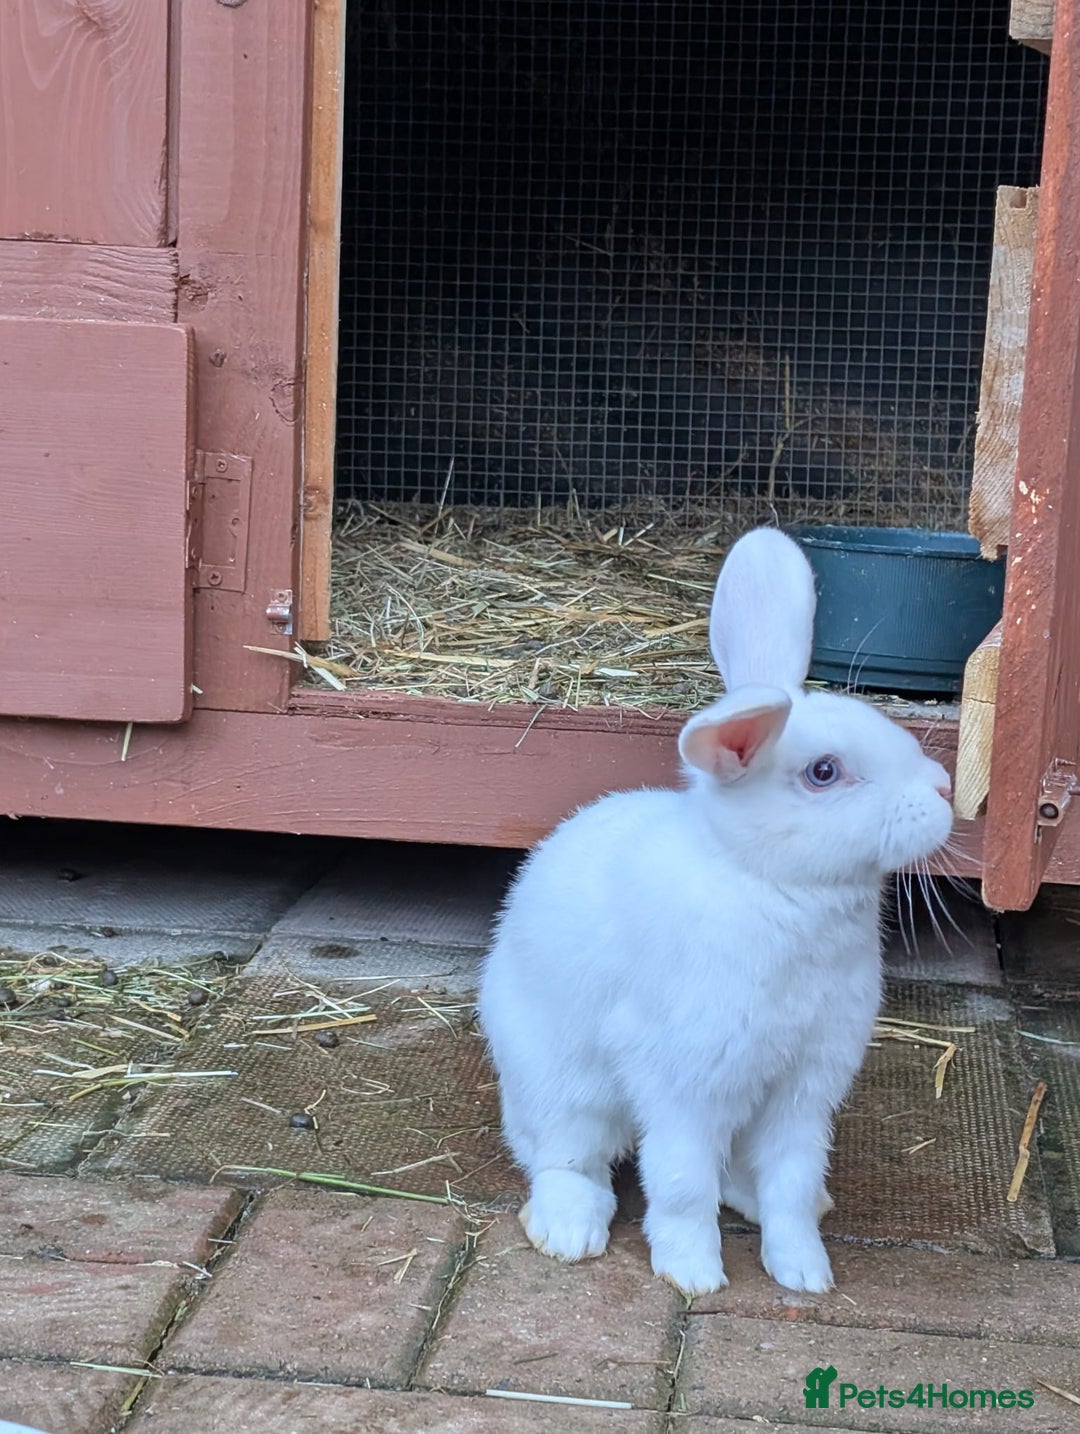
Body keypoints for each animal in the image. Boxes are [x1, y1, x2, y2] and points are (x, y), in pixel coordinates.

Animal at [477, 526, 953, 1297]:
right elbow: (680, 1184)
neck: (767, 882)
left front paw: (804, 1273)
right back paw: (570, 1231)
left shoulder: (804, 1090)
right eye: (824, 772)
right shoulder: (683, 1082)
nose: (944, 789)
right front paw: (692, 1274)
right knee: (564, 1157)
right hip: (560, 1086)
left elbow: (791, 1183)